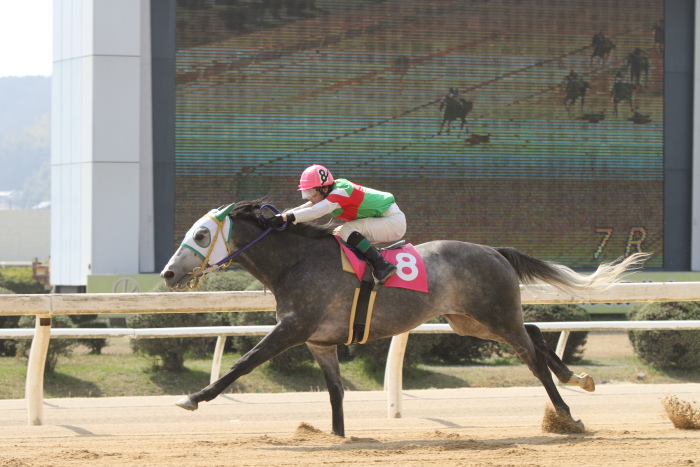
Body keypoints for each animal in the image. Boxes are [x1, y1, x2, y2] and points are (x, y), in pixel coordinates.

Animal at [161, 200, 648, 438]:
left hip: (494, 316)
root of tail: (494, 250)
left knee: (532, 359)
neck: (295, 261)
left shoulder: (293, 329)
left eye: (201, 235)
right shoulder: (320, 341)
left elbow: (244, 363)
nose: (168, 273)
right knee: (535, 331)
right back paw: (577, 377)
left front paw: (194, 398)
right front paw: (338, 436)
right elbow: (336, 392)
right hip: (469, 320)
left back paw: (567, 417)